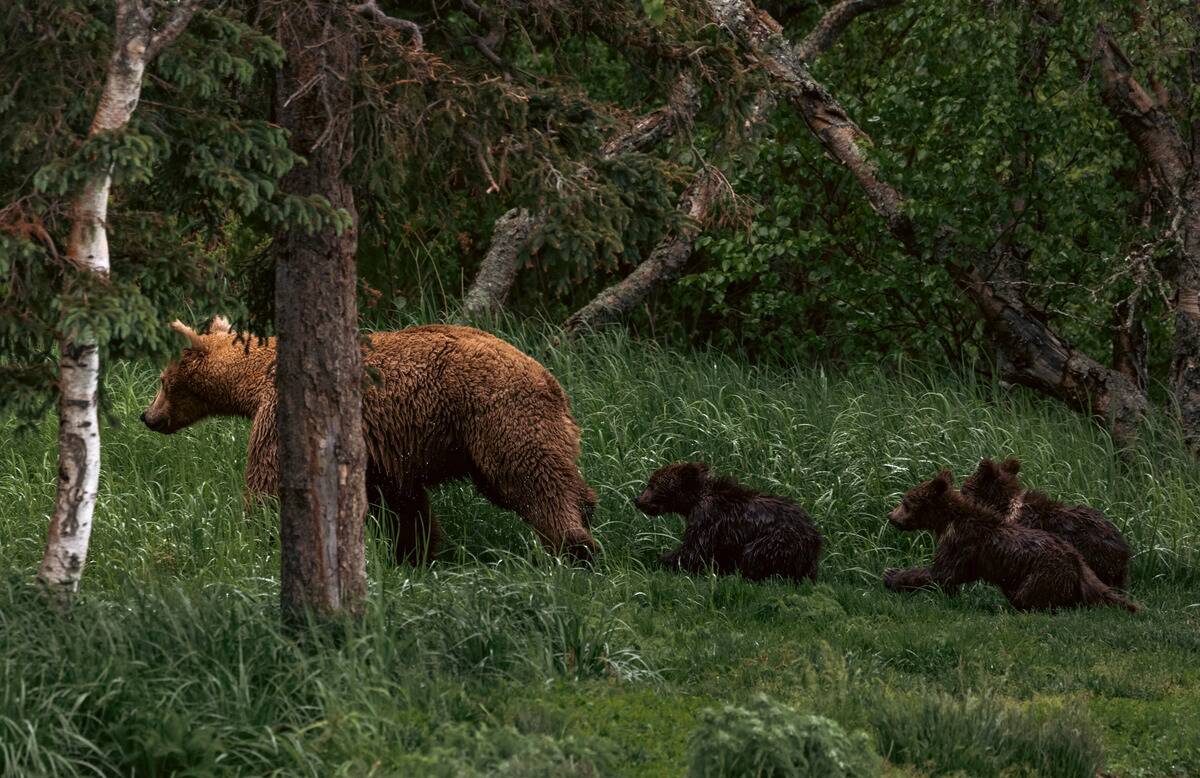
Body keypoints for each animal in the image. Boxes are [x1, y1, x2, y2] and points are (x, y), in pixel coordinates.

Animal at [141, 317, 598, 564]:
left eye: (162, 381)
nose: (148, 416)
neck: (253, 383)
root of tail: (550, 380)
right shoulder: (381, 449)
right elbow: (401, 503)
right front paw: (416, 553)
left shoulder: (285, 416)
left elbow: (270, 482)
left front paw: (258, 537)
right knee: (566, 479)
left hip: (497, 417)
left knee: (533, 480)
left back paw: (575, 547)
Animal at [634, 461, 821, 583]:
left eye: (652, 485)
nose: (638, 500)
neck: (692, 503)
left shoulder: (707, 520)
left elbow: (693, 551)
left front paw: (657, 561)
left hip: (777, 540)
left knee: (753, 555)